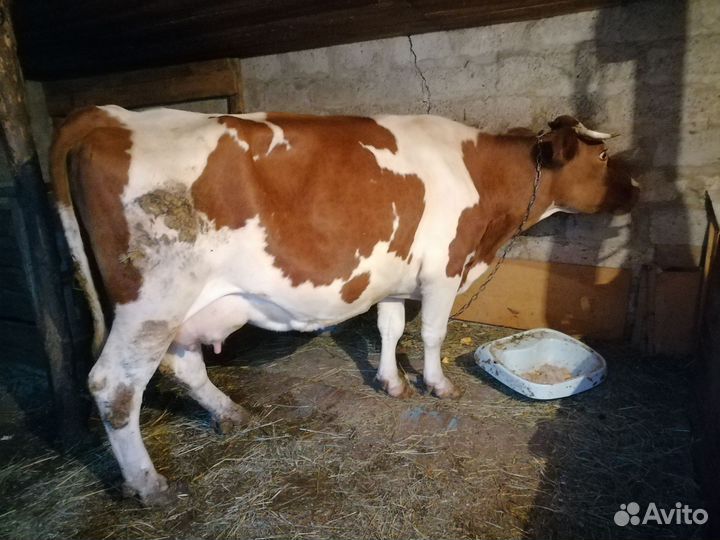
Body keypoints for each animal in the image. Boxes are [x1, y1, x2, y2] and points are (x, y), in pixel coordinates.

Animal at [50, 106, 637, 504]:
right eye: (603, 156)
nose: (637, 185)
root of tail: (110, 115)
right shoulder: (444, 269)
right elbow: (432, 333)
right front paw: (437, 385)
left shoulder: (396, 276)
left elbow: (390, 328)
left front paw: (392, 383)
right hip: (152, 300)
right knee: (114, 385)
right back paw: (149, 484)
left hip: (183, 307)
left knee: (183, 363)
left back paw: (229, 413)